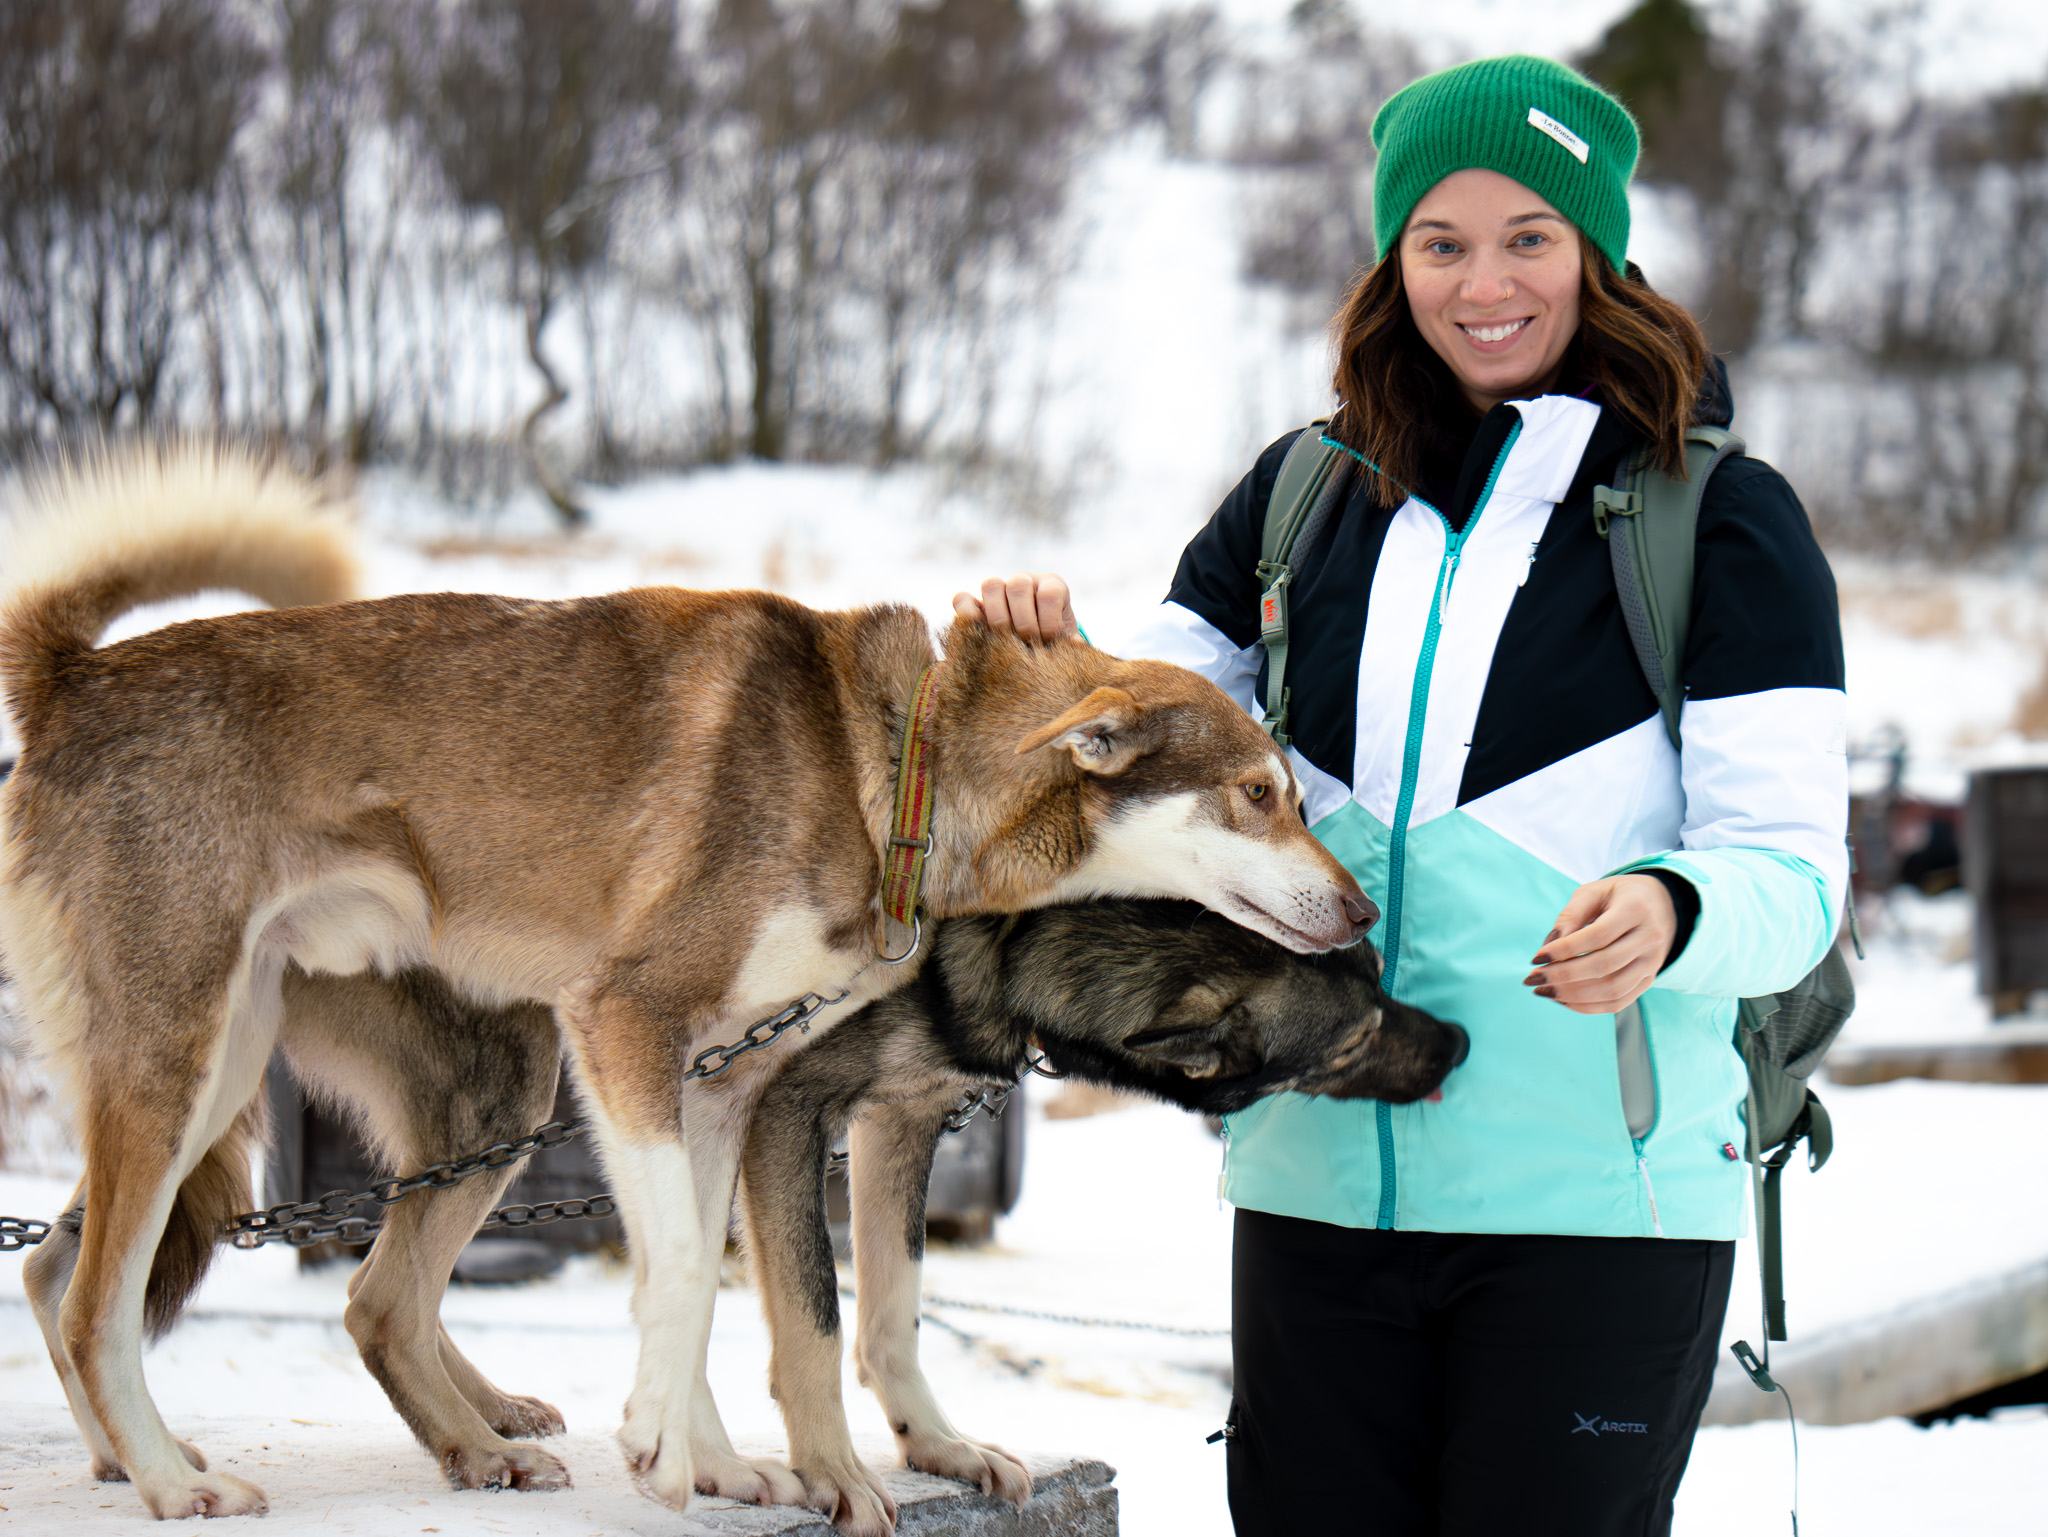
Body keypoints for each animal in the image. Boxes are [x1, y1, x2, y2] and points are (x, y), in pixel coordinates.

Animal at [4, 442, 1376, 1516]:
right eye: (1259, 794)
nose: (1364, 908)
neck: (895, 770)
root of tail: (78, 677)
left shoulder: (727, 1085)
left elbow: (712, 1284)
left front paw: (713, 1462)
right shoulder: (635, 1031)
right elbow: (689, 1271)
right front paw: (672, 1447)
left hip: (263, 1073)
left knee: (123, 1274)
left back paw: (244, 1454)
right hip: (211, 1065)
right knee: (100, 1300)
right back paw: (174, 1478)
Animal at [733, 897, 1458, 1532]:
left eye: (1380, 970)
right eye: (1353, 1042)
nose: (1460, 1041)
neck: (1013, 939)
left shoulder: (903, 1118)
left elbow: (895, 1314)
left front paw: (937, 1443)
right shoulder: (783, 1110)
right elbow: (816, 1321)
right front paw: (831, 1469)